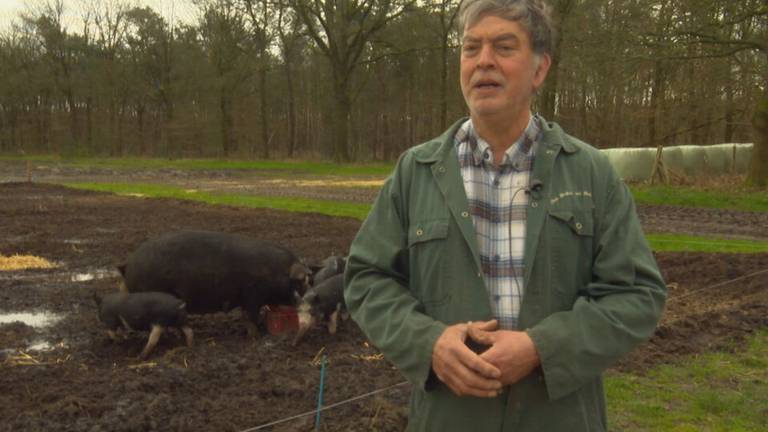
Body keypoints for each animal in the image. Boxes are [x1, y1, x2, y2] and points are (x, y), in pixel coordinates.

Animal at [118, 230, 310, 334]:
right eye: (303, 281)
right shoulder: (252, 296)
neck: (277, 273)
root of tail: (129, 263)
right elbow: (252, 317)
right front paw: (255, 335)